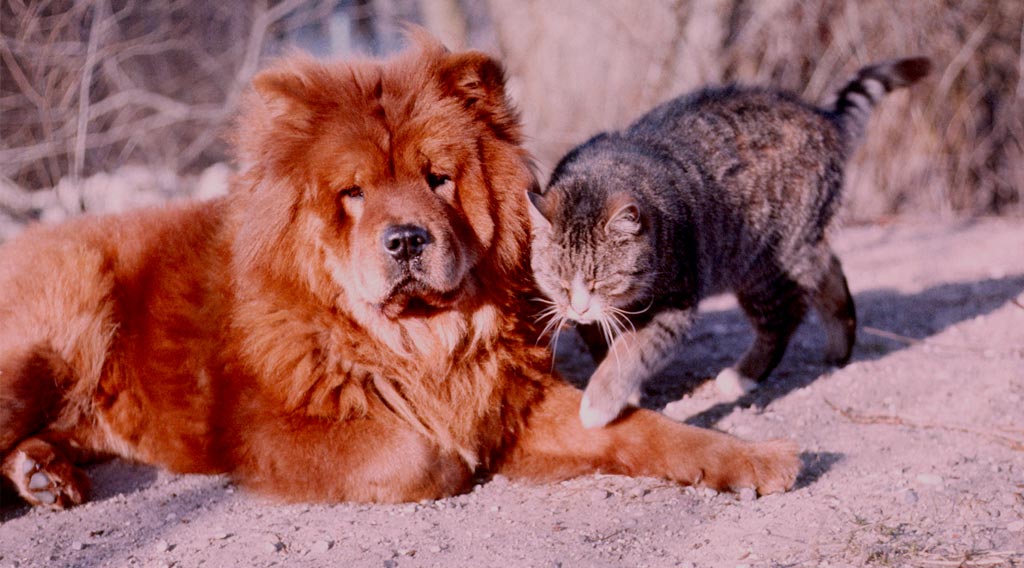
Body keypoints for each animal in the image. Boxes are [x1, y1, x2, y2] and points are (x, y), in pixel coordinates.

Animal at [0, 33, 798, 509]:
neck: (422, 340)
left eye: (438, 178)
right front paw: (456, 459)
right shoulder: (270, 433)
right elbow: (415, 447)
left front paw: (759, 458)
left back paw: (45, 474)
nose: (407, 238)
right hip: (60, 324)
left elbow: (646, 429)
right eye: (353, 193)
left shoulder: (514, 397)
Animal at [532, 60, 933, 429]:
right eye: (558, 282)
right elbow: (601, 341)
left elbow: (631, 352)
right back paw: (839, 347)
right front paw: (622, 388)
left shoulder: (675, 304)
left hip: (768, 267)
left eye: (602, 281)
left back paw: (745, 375)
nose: (579, 306)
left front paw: (600, 401)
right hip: (800, 248)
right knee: (829, 274)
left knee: (784, 319)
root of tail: (822, 118)